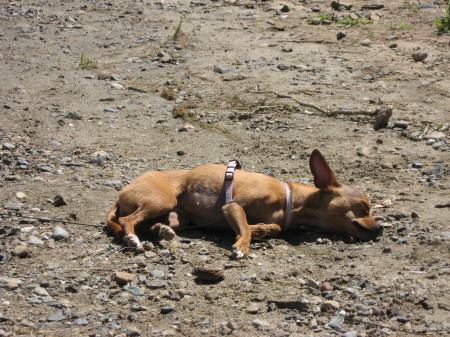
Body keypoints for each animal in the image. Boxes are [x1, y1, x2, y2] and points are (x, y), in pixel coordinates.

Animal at [107, 149, 382, 258]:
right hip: (162, 200)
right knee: (127, 220)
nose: (380, 229)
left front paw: (259, 229)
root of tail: (121, 192)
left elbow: (274, 227)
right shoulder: (231, 207)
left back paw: (162, 230)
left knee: (149, 224)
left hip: (178, 216)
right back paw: (133, 239)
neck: (291, 201)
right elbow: (245, 227)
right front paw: (244, 244)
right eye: (363, 208)